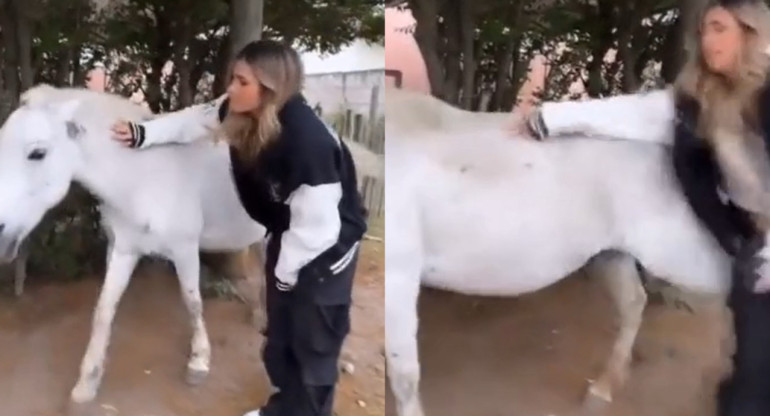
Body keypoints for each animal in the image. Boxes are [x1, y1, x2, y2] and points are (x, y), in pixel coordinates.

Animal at [0, 83, 268, 404]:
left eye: (37, 153)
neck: (145, 178)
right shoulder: (122, 250)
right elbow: (103, 311)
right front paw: (87, 383)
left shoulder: (185, 250)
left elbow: (193, 303)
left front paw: (199, 360)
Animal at [388, 86, 728, 414]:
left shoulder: (401, 276)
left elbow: (403, 375)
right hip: (611, 254)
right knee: (634, 303)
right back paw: (603, 388)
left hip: (678, 254)